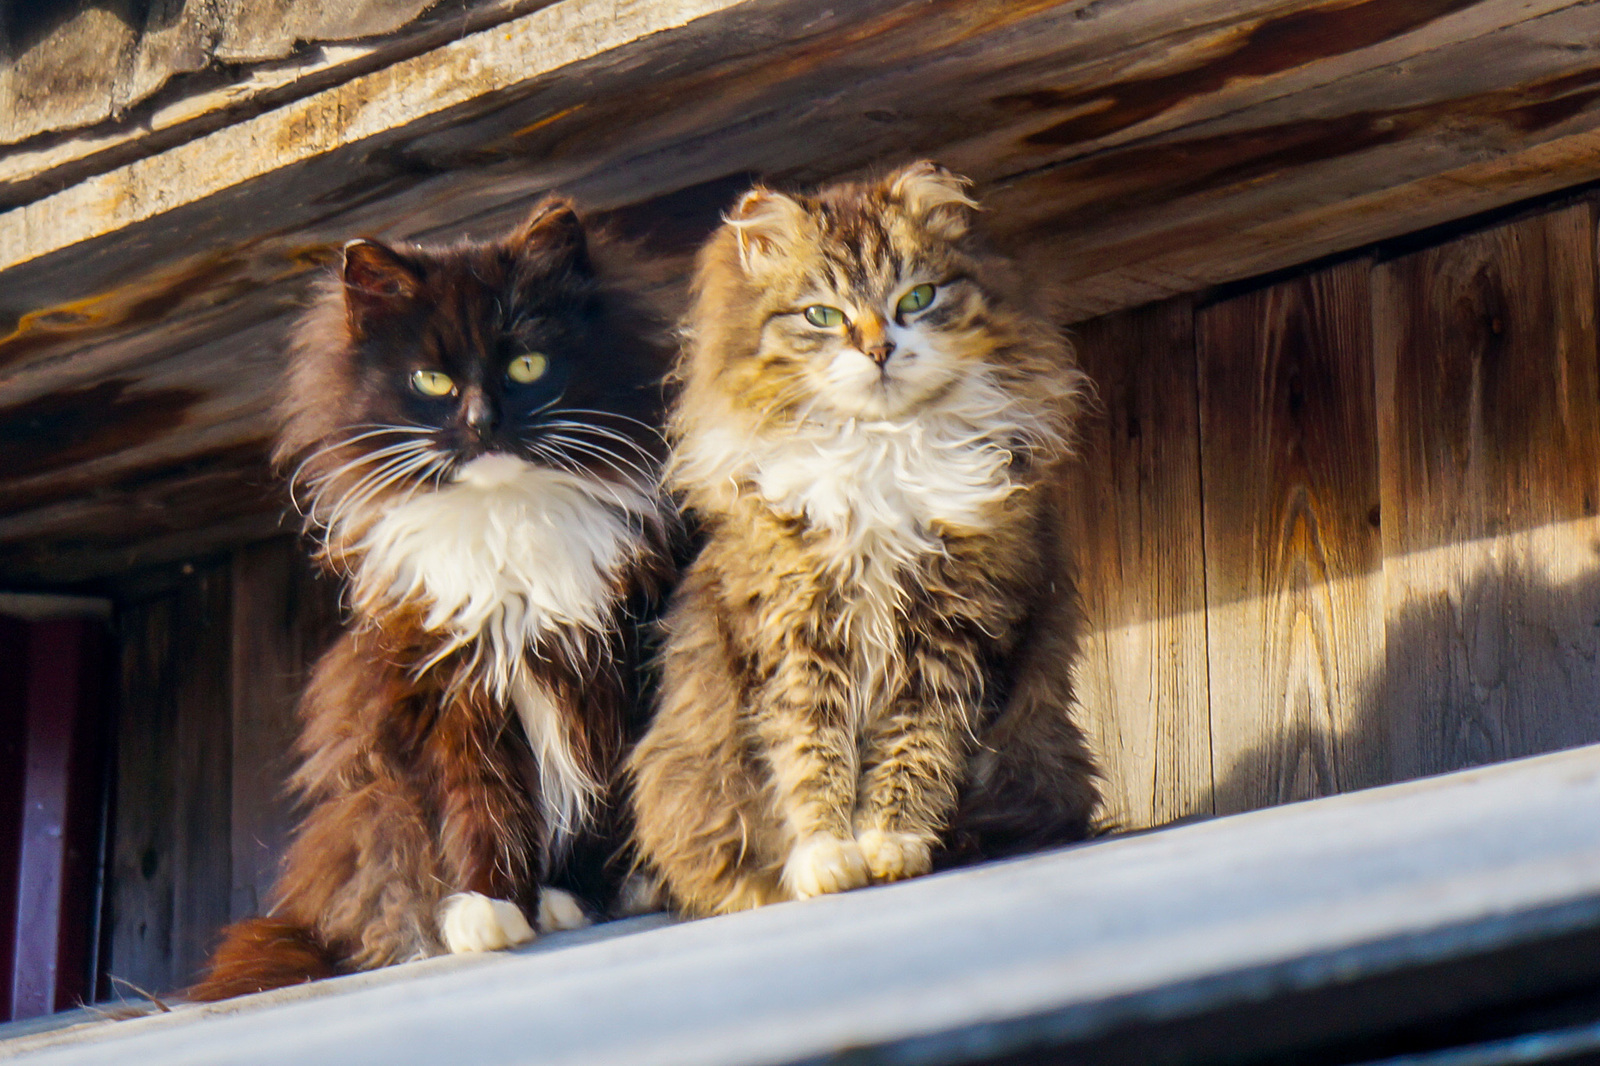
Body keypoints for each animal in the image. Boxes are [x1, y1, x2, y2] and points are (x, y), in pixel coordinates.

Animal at [192, 192, 668, 998]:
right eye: (432, 383)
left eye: (526, 365)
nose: (481, 422)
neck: (508, 525)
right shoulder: (448, 684)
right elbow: (480, 802)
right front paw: (488, 910)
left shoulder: (611, 660)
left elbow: (602, 790)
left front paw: (584, 892)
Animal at [624, 157, 1100, 915]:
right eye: (822, 315)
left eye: (917, 299)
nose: (878, 349)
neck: (885, 451)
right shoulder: (795, 640)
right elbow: (809, 758)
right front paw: (827, 859)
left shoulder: (952, 636)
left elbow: (915, 752)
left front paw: (891, 846)